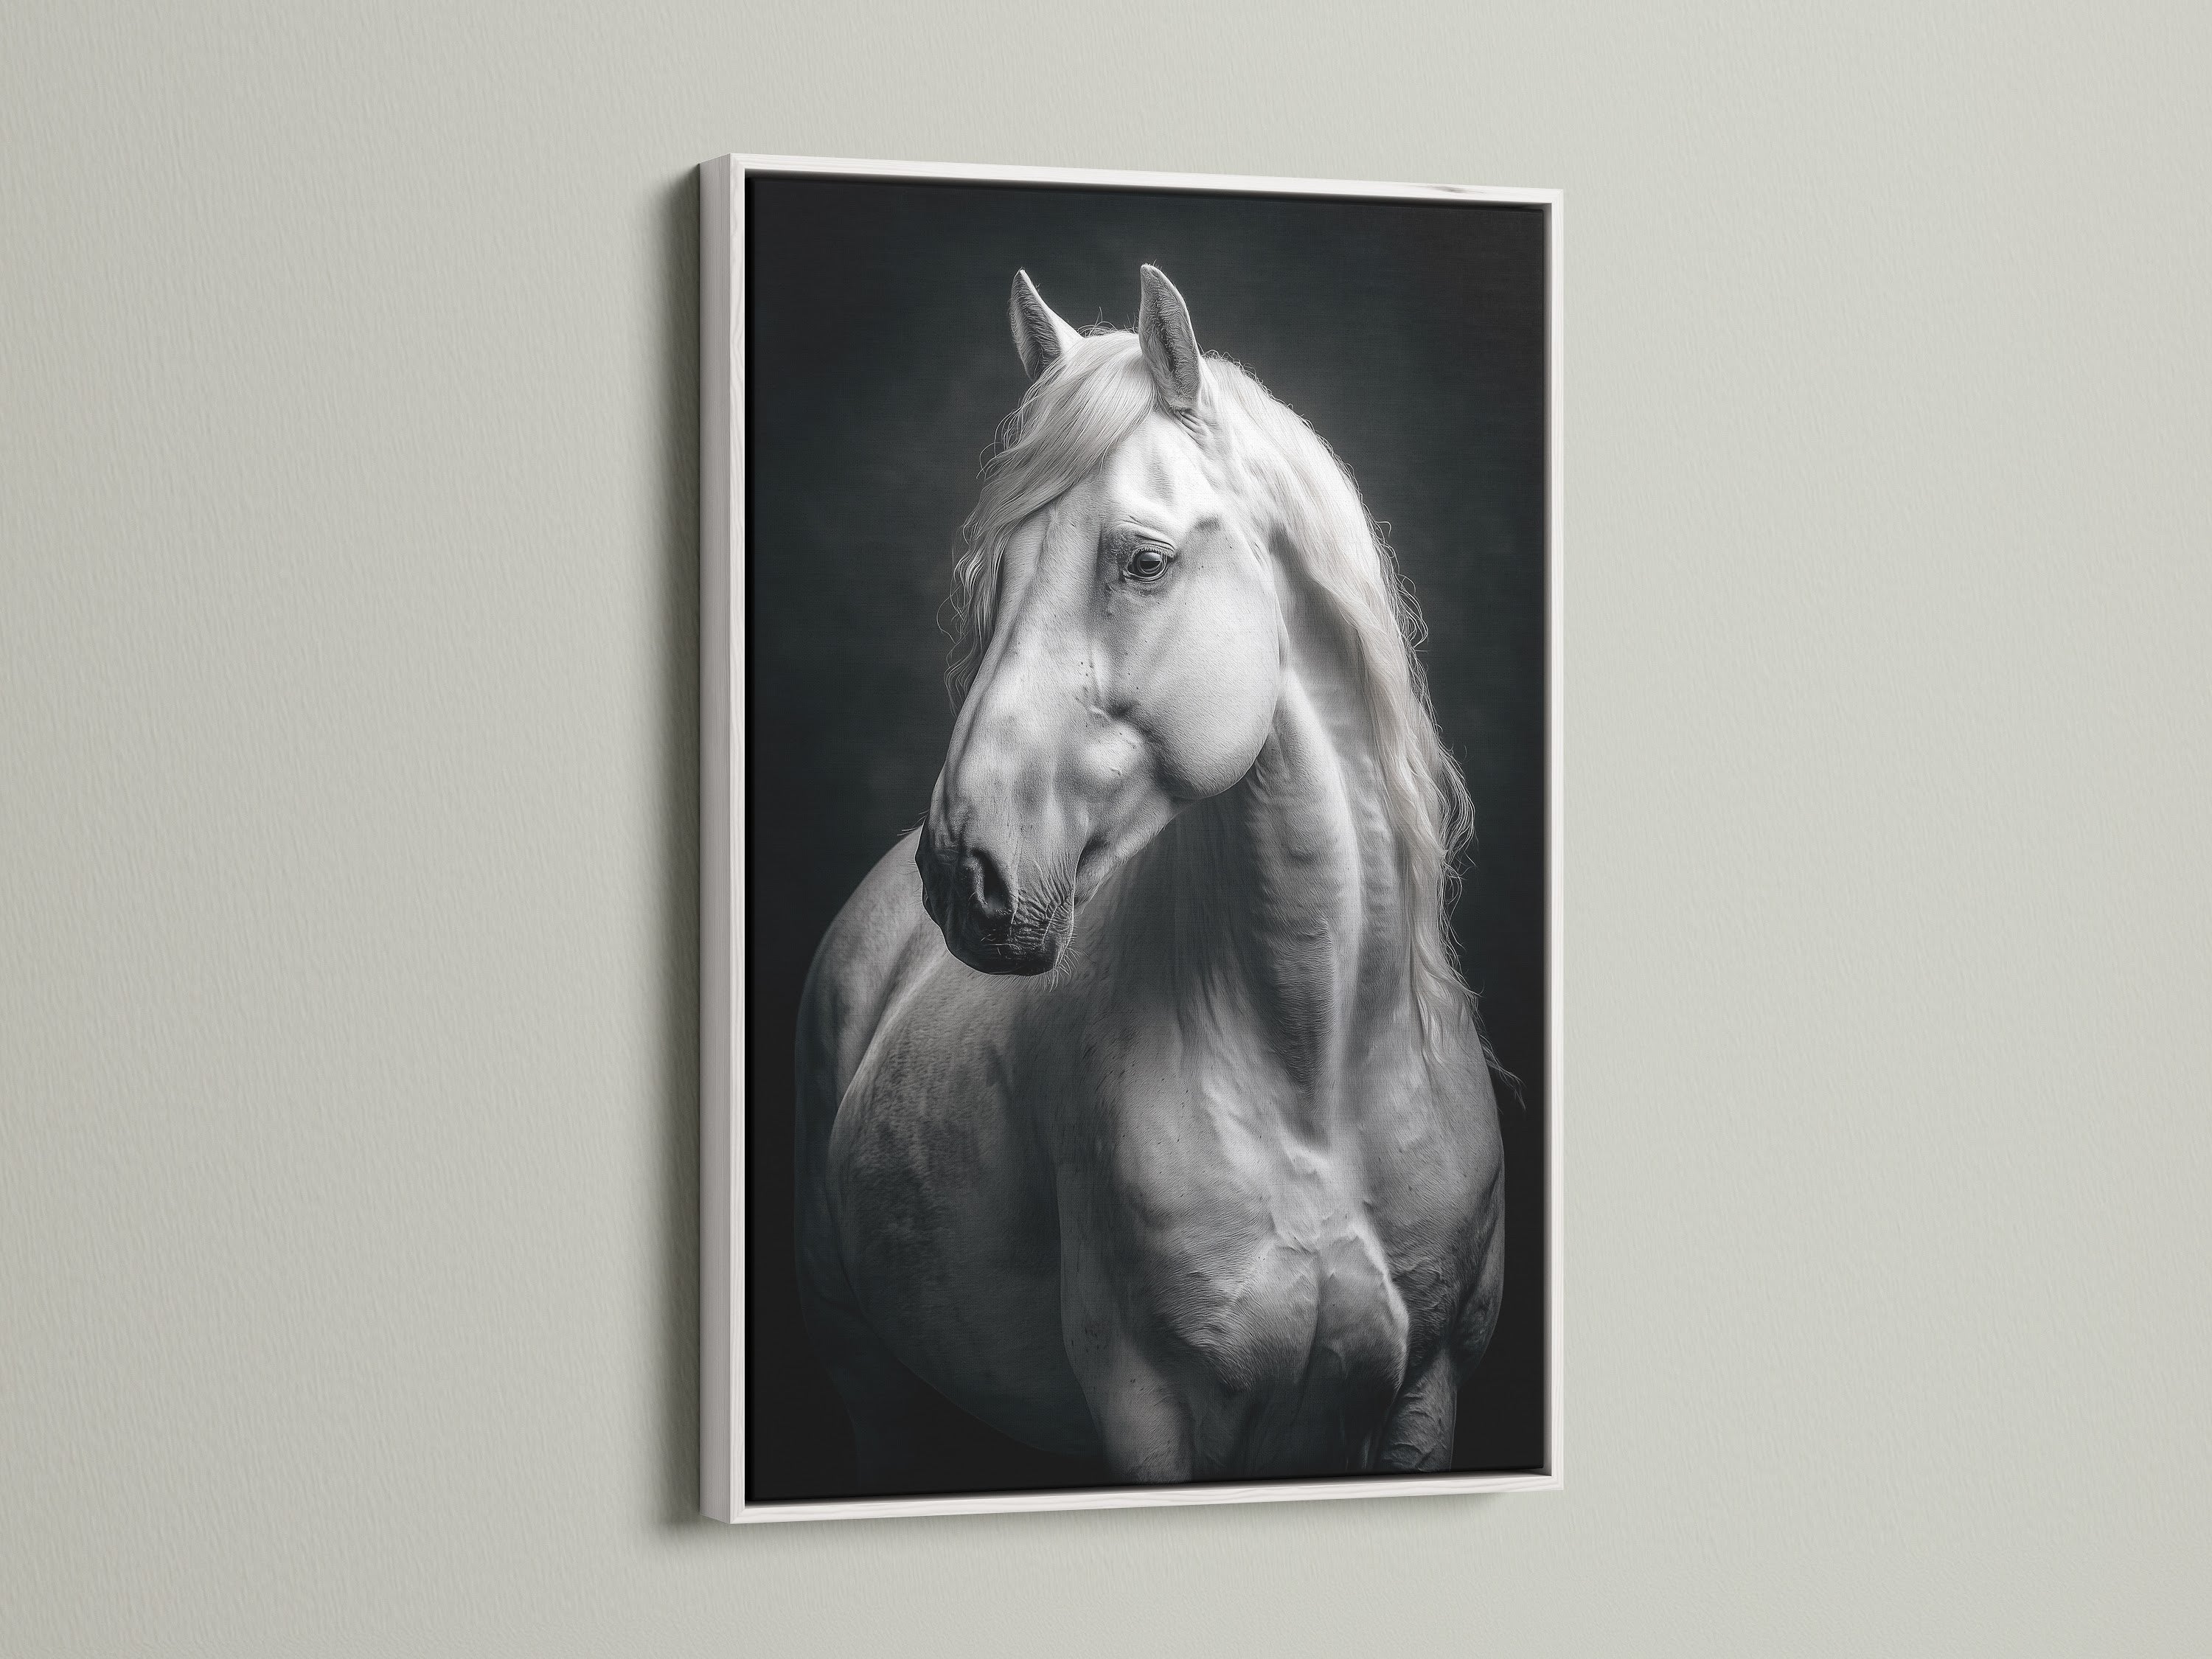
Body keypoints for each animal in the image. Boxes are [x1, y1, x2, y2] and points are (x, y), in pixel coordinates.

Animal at [794, 265, 1504, 1488]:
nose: (962, 874)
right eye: (994, 572)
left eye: (1145, 561)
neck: (1319, 1066)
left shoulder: (1427, 1396)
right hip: (870, 1378)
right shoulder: (1152, 1418)